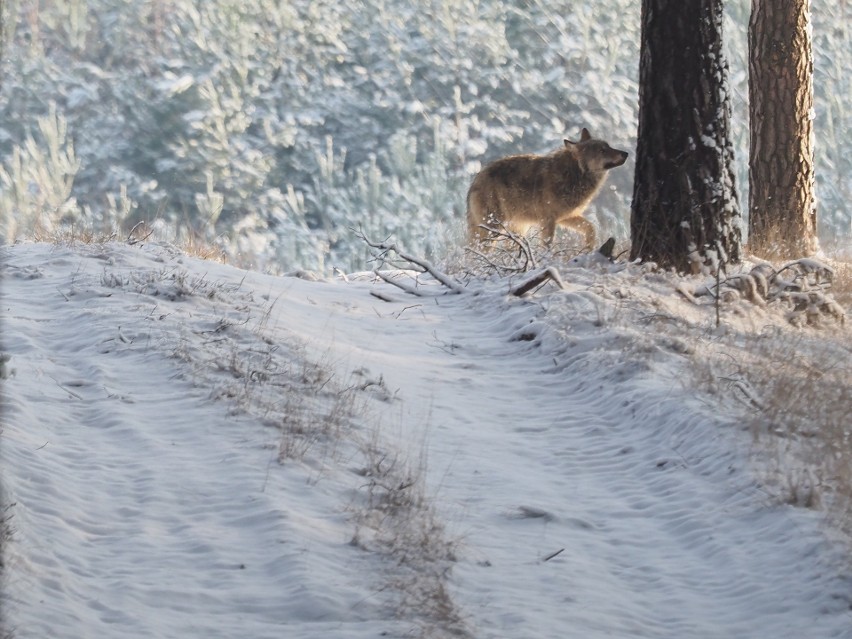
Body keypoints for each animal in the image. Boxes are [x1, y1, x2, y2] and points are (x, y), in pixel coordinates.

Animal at [466, 129, 624, 249]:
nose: (626, 153)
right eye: (602, 150)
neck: (572, 174)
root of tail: (475, 181)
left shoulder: (565, 217)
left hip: (517, 230)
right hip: (494, 229)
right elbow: (547, 245)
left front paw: (589, 249)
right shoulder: (548, 220)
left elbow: (591, 228)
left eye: (608, 146)